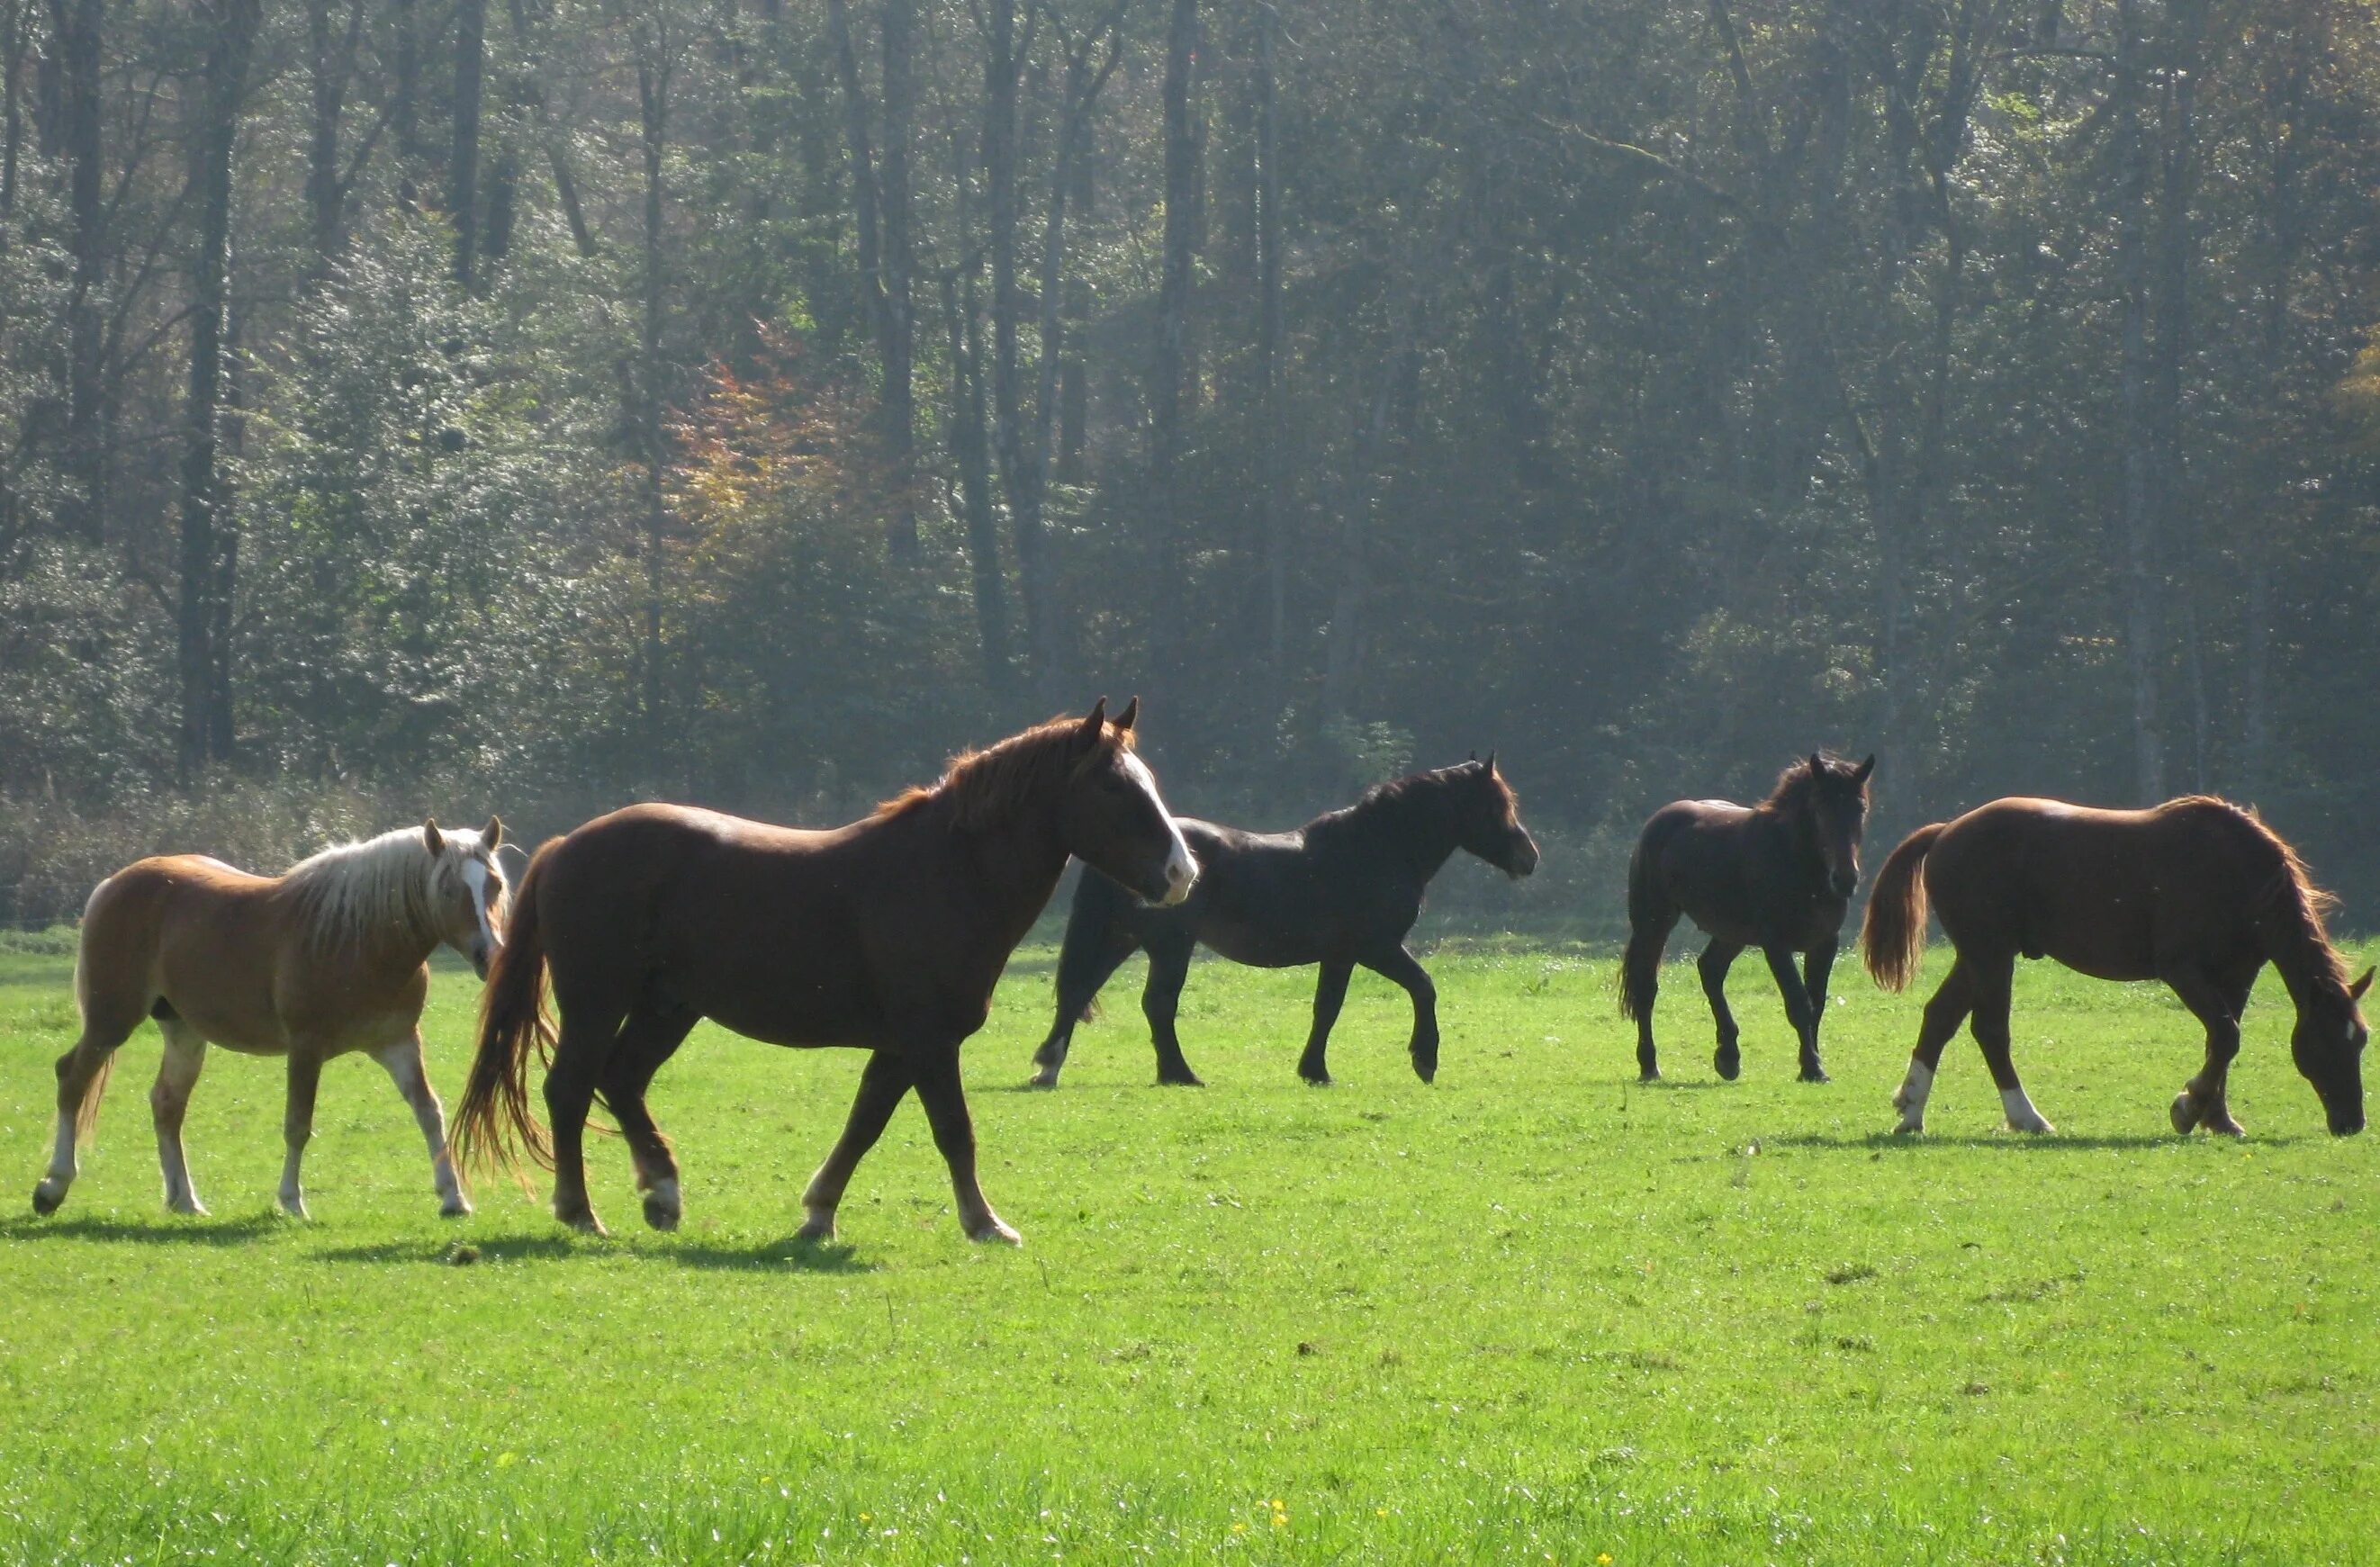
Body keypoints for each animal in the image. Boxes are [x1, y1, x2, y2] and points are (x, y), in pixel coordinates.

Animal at [25, 819, 511, 1219]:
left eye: (494, 884)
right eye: (448, 889)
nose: (490, 955)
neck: (359, 938)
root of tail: (113, 883)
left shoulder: (399, 1043)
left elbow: (429, 1111)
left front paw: (453, 1197)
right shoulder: (306, 1048)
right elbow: (298, 1125)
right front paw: (291, 1202)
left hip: (183, 1032)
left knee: (167, 1103)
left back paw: (185, 1200)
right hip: (111, 1021)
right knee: (72, 1079)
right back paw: (52, 1186)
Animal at [447, 699, 1199, 1238]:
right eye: (1112, 786)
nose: (1181, 872)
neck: (947, 872)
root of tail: (567, 846)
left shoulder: (901, 1047)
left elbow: (864, 1124)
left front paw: (818, 1210)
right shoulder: (930, 1041)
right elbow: (954, 1131)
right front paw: (984, 1222)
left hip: (669, 1006)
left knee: (622, 1080)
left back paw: (661, 1190)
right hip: (597, 1001)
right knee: (570, 1089)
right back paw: (580, 1210)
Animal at [1023, 757, 1542, 1085]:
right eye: (1497, 804)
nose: (1529, 858)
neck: (1375, 849)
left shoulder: (1341, 956)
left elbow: (1327, 1009)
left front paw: (1314, 1070)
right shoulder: (1376, 948)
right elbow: (1423, 987)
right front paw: (1424, 1059)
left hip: (1123, 938)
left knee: (1078, 993)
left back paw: (1049, 1067)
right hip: (1169, 945)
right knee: (1156, 1005)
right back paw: (1179, 1074)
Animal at [1618, 752, 1875, 1081]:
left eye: (1860, 808)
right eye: (1820, 807)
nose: (1845, 879)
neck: (1796, 862)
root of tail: (1658, 821)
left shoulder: (1825, 943)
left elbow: (1816, 1003)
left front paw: (1812, 1064)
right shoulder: (1775, 944)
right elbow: (1799, 1003)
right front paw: (1812, 1066)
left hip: (1731, 933)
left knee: (1710, 970)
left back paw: (1728, 1056)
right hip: (1654, 923)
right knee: (1646, 988)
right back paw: (1650, 1065)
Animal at [1865, 795, 2370, 1133]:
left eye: (2361, 1038)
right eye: (2327, 1041)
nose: (2352, 1122)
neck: (2236, 873)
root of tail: (1947, 830)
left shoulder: (2237, 975)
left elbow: (2222, 1042)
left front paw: (2218, 1117)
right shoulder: (2183, 971)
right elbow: (2227, 1036)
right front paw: (2189, 1109)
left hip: (1978, 958)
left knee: (1940, 1019)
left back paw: (1912, 1112)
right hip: (1990, 956)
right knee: (1989, 1031)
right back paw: (2027, 1117)